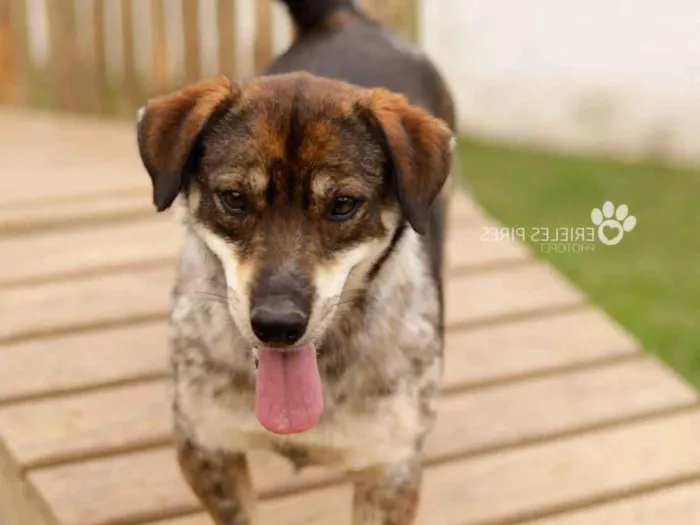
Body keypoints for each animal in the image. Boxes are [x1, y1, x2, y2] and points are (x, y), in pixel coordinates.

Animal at [135, 2, 456, 520]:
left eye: (343, 204)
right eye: (233, 198)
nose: (277, 324)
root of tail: (348, 19)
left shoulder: (390, 473)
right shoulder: (205, 448)